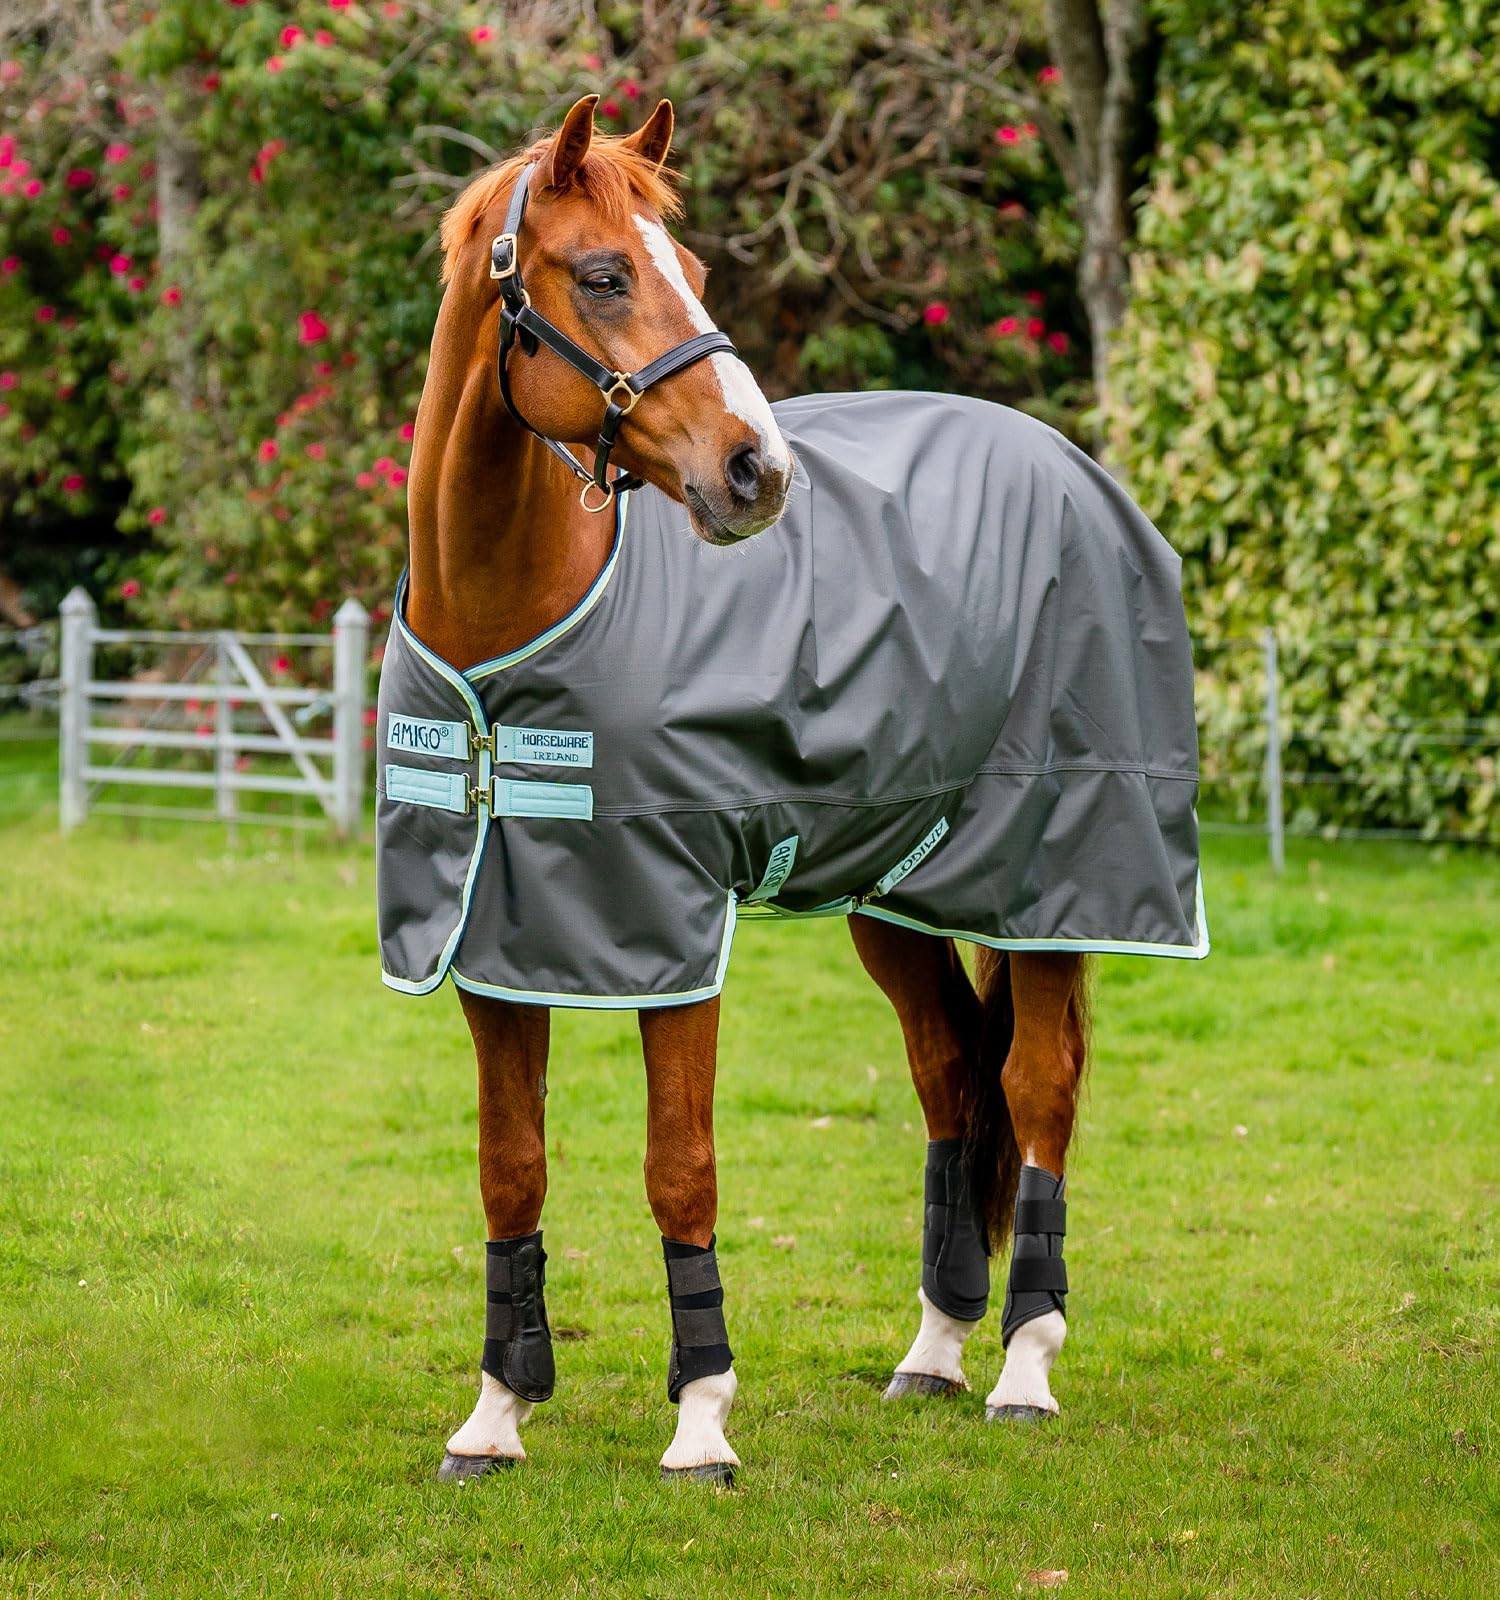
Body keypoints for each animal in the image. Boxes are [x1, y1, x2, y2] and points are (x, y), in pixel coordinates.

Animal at [389, 95, 1204, 1483]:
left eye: (693, 271)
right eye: (602, 275)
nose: (757, 472)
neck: (515, 618)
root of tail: (1075, 470)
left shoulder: (668, 933)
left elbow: (681, 1166)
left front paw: (702, 1420)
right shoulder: (496, 941)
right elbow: (511, 1168)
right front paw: (495, 1414)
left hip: (1056, 878)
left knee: (1037, 1086)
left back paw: (1025, 1369)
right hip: (900, 894)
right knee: (952, 1078)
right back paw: (936, 1352)